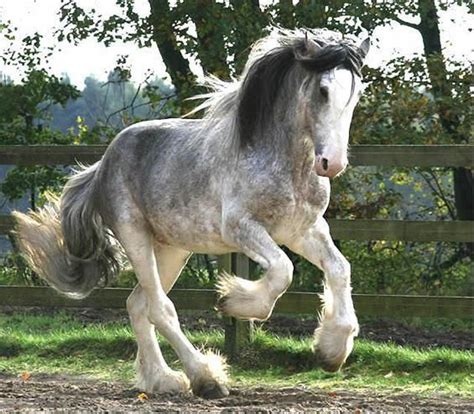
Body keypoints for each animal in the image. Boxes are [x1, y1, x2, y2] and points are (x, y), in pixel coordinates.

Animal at [12, 28, 370, 398]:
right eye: (323, 90)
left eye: (358, 93)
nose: (332, 163)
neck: (281, 160)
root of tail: (102, 165)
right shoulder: (240, 228)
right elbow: (283, 270)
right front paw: (233, 301)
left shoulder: (303, 230)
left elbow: (339, 269)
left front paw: (331, 351)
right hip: (136, 237)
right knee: (160, 308)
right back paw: (205, 378)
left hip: (171, 249)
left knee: (138, 305)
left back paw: (161, 380)